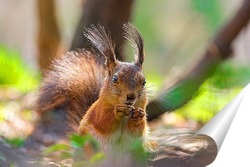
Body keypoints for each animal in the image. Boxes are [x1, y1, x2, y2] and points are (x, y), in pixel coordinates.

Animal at [35, 23, 148, 166]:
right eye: (115, 79)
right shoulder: (99, 109)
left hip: (136, 153)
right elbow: (103, 121)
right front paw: (117, 111)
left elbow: (139, 129)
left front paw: (138, 115)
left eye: (144, 82)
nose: (131, 96)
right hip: (93, 149)